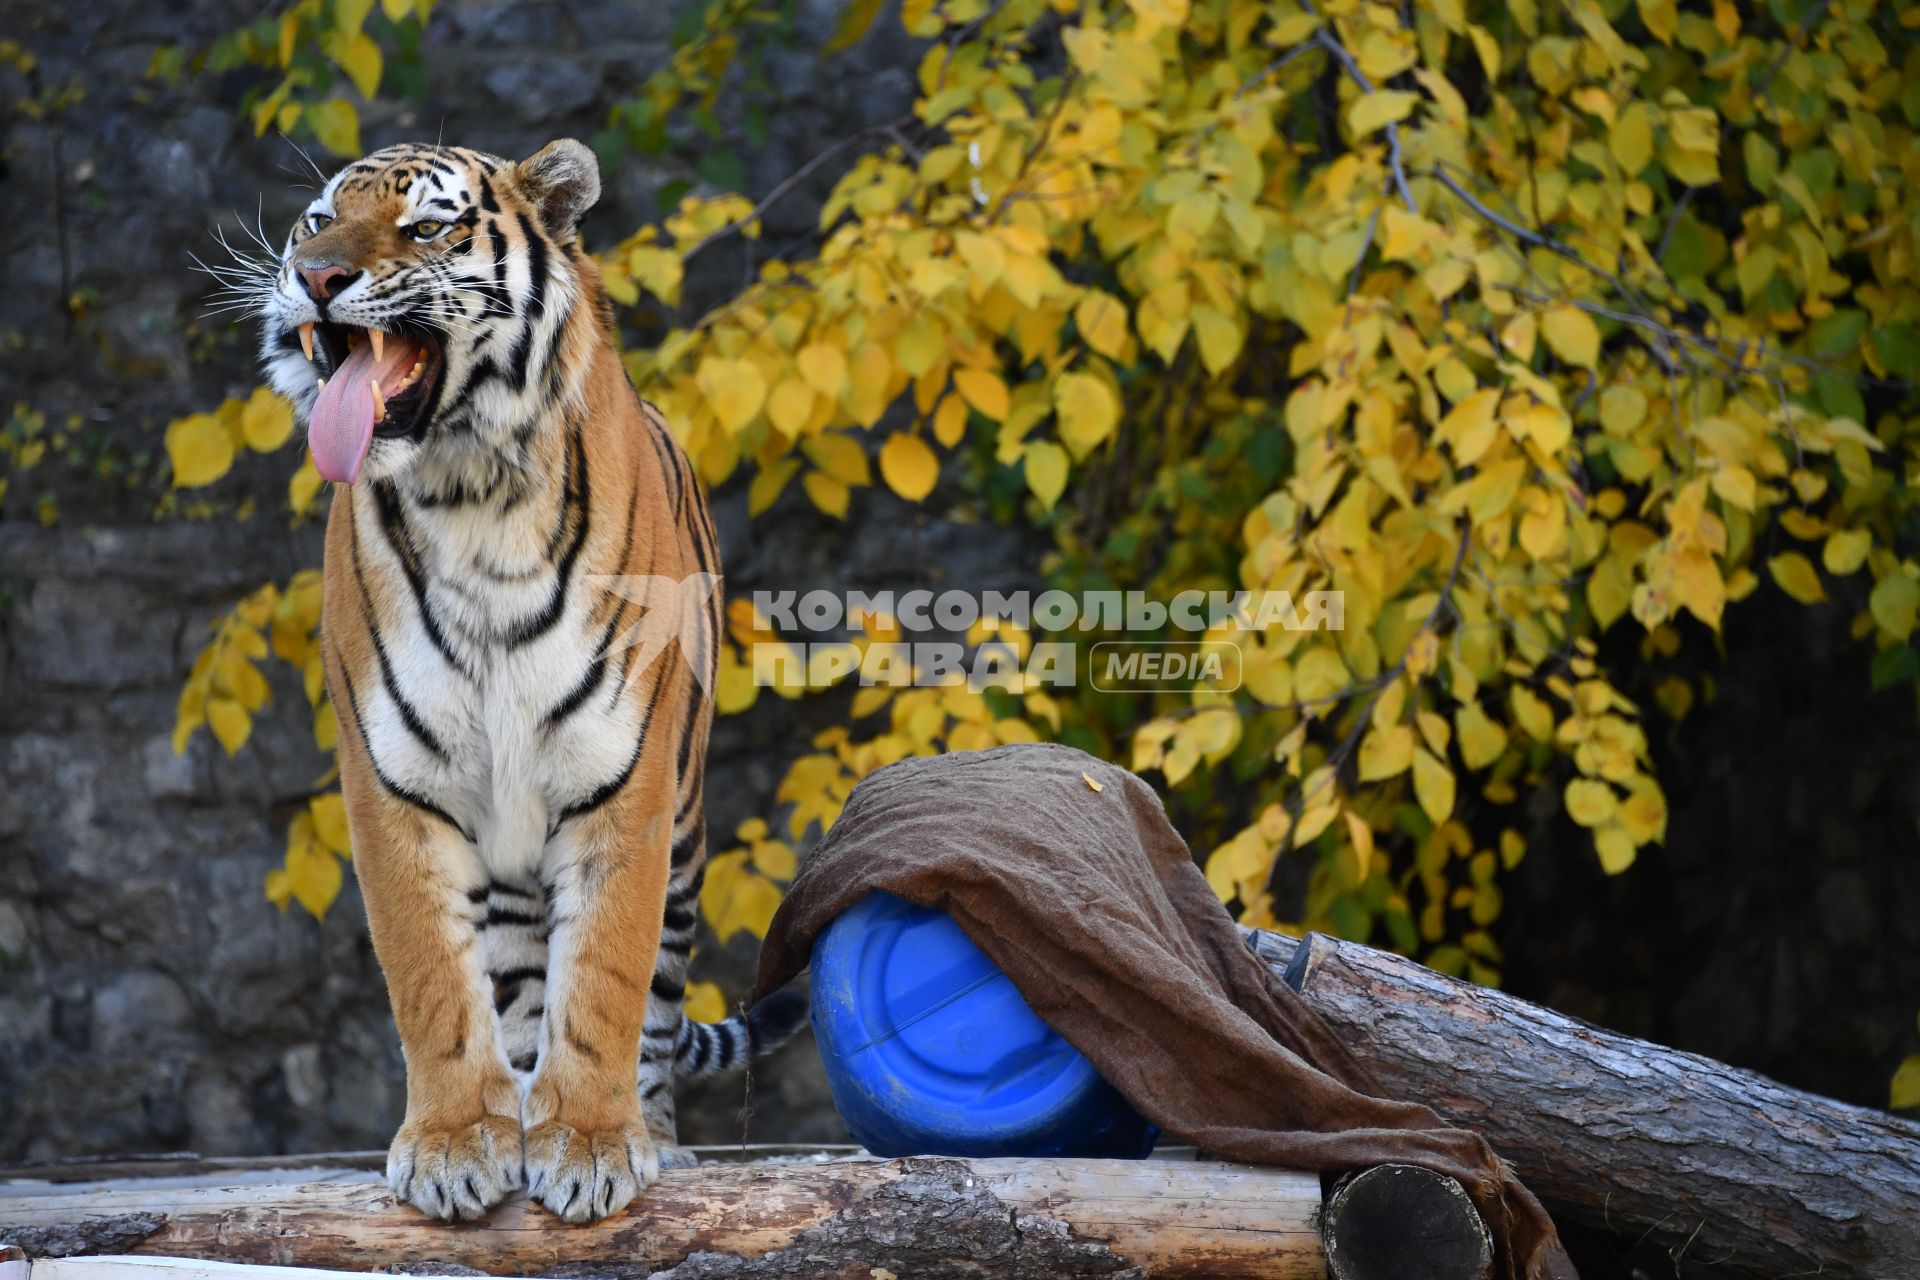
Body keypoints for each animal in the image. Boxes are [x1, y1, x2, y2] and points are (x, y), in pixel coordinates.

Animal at [253, 138, 802, 1220]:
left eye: (426, 227)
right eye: (317, 221)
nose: (315, 276)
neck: (467, 495)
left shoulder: (624, 782)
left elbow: (605, 983)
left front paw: (590, 1145)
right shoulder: (395, 785)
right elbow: (433, 980)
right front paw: (459, 1143)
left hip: (684, 834)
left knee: (657, 1007)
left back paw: (651, 1136)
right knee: (511, 989)